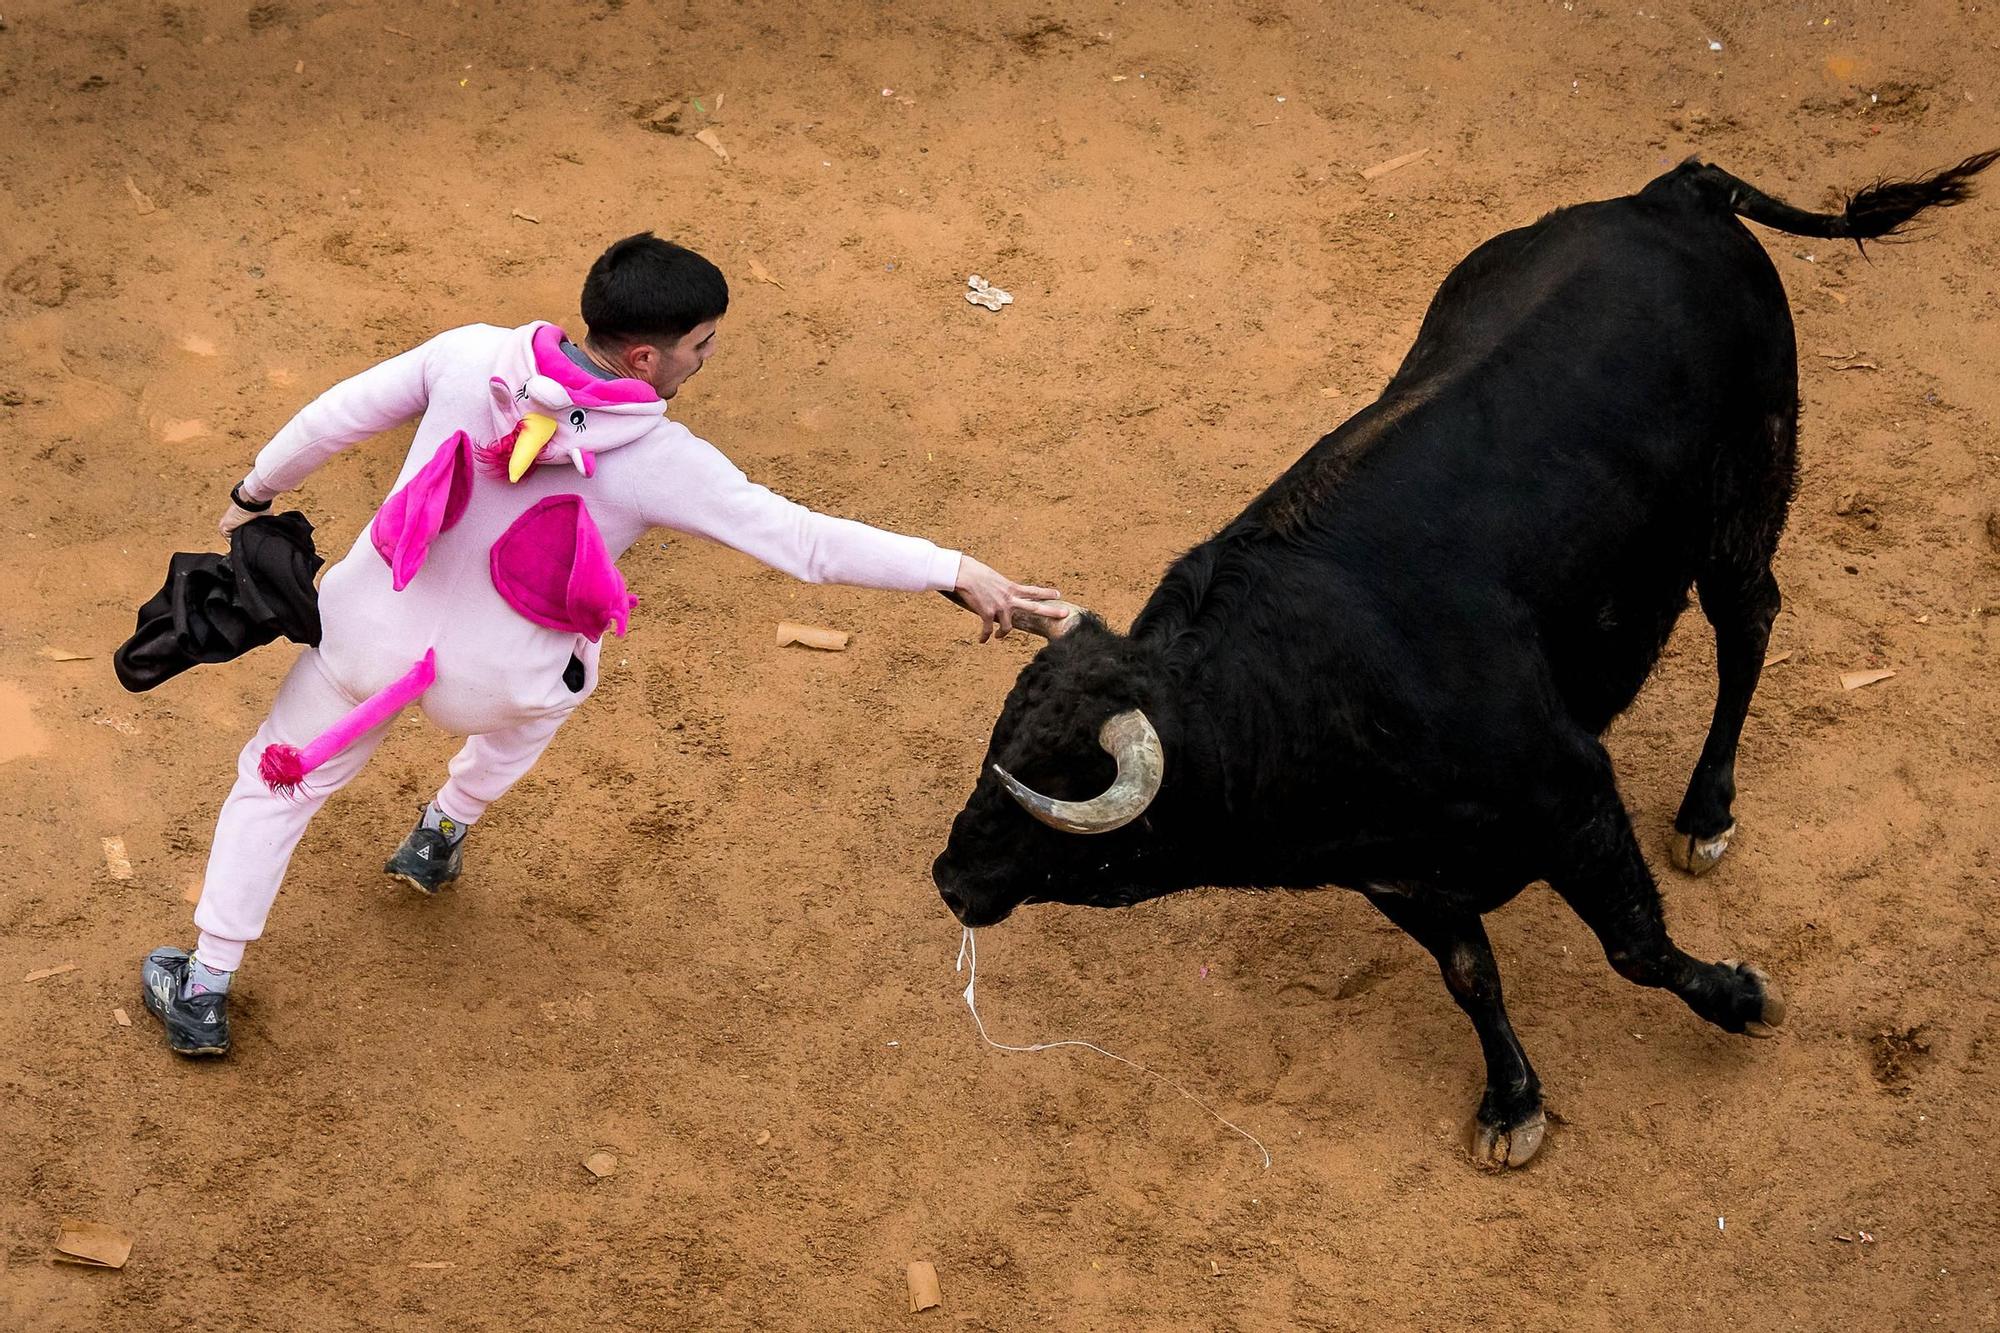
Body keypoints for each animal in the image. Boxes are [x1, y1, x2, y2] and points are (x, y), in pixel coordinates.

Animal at [928, 153, 1992, 1160]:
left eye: (1055, 784)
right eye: (998, 752)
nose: (948, 877)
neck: (1293, 692)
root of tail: (1673, 194)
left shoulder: (1573, 794)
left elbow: (1635, 943)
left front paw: (1741, 996)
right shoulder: (1406, 875)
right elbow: (1471, 974)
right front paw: (1512, 1101)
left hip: (1749, 498)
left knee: (1750, 625)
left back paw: (1706, 812)